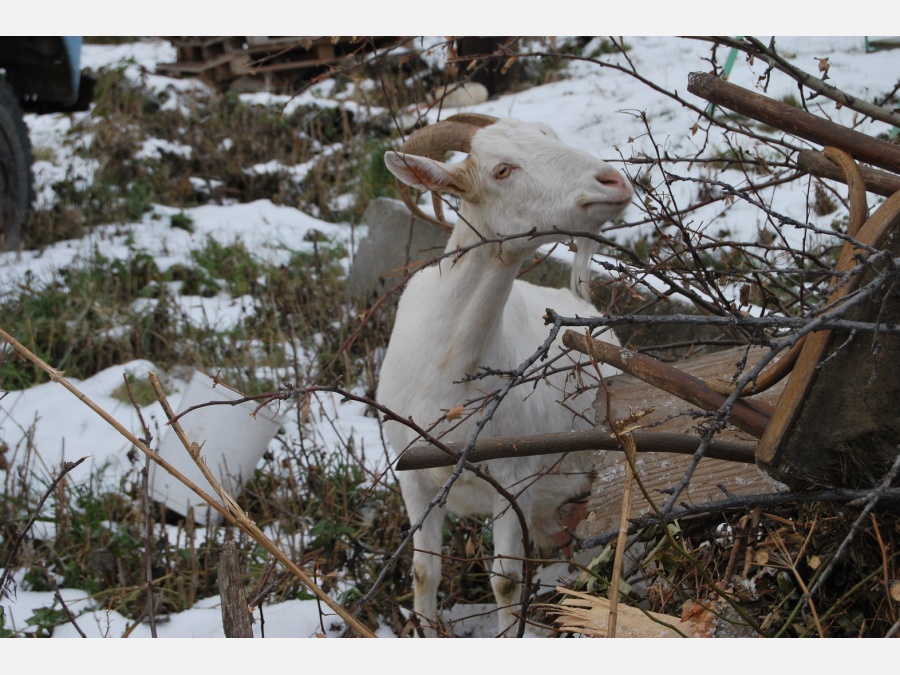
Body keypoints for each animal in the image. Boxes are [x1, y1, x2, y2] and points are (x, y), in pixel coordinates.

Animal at [378, 113, 632, 636]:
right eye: (502, 170)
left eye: (550, 137)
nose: (612, 182)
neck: (448, 371)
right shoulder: (411, 476)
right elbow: (424, 569)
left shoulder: (514, 475)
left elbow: (506, 581)